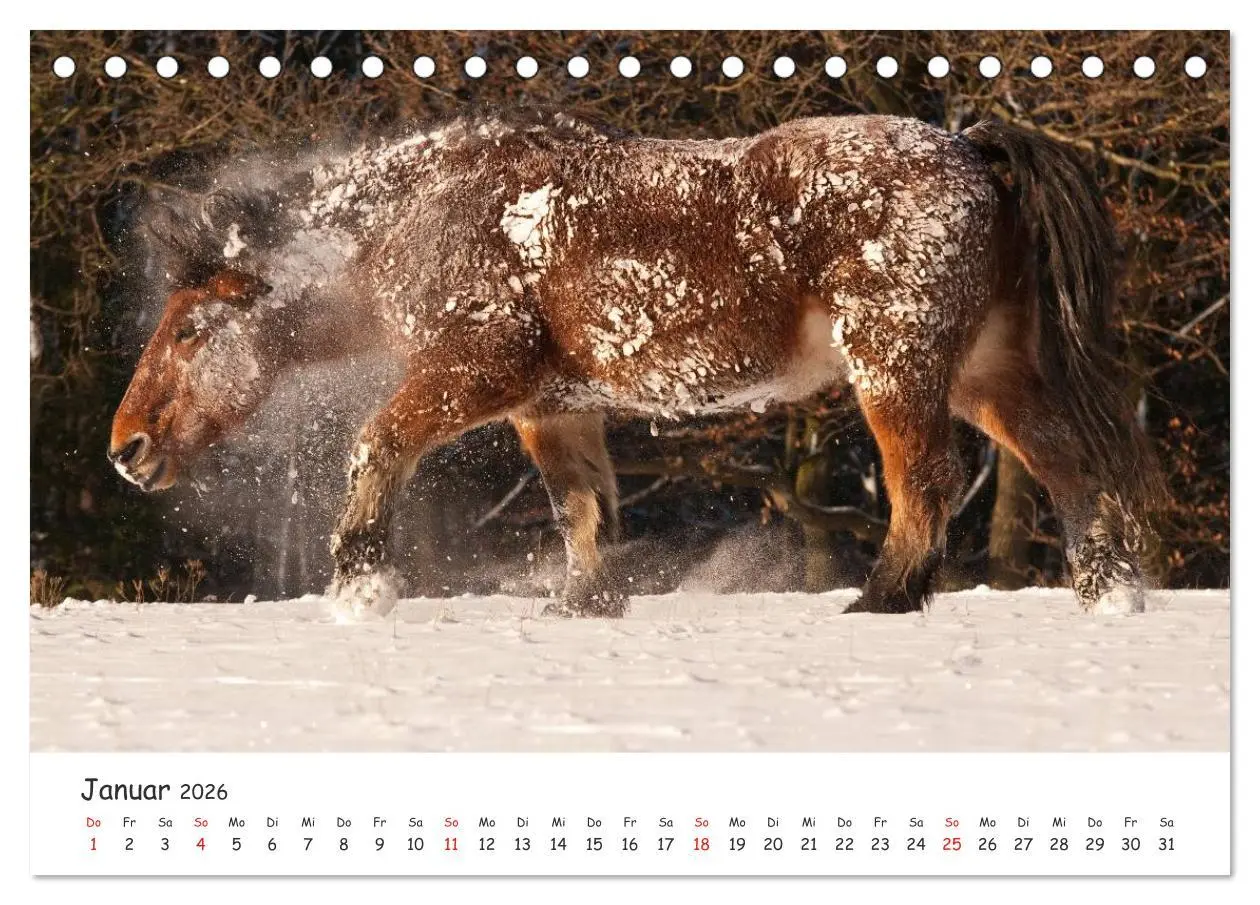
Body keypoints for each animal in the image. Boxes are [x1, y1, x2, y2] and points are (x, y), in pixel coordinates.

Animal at [109, 109, 1162, 616]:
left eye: (190, 330)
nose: (126, 449)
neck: (428, 213)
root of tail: (975, 151)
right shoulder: (550, 405)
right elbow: (582, 509)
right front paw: (584, 604)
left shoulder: (477, 374)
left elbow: (377, 444)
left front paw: (361, 583)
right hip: (989, 374)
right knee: (1071, 466)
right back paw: (1109, 593)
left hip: (897, 369)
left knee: (927, 483)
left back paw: (885, 596)